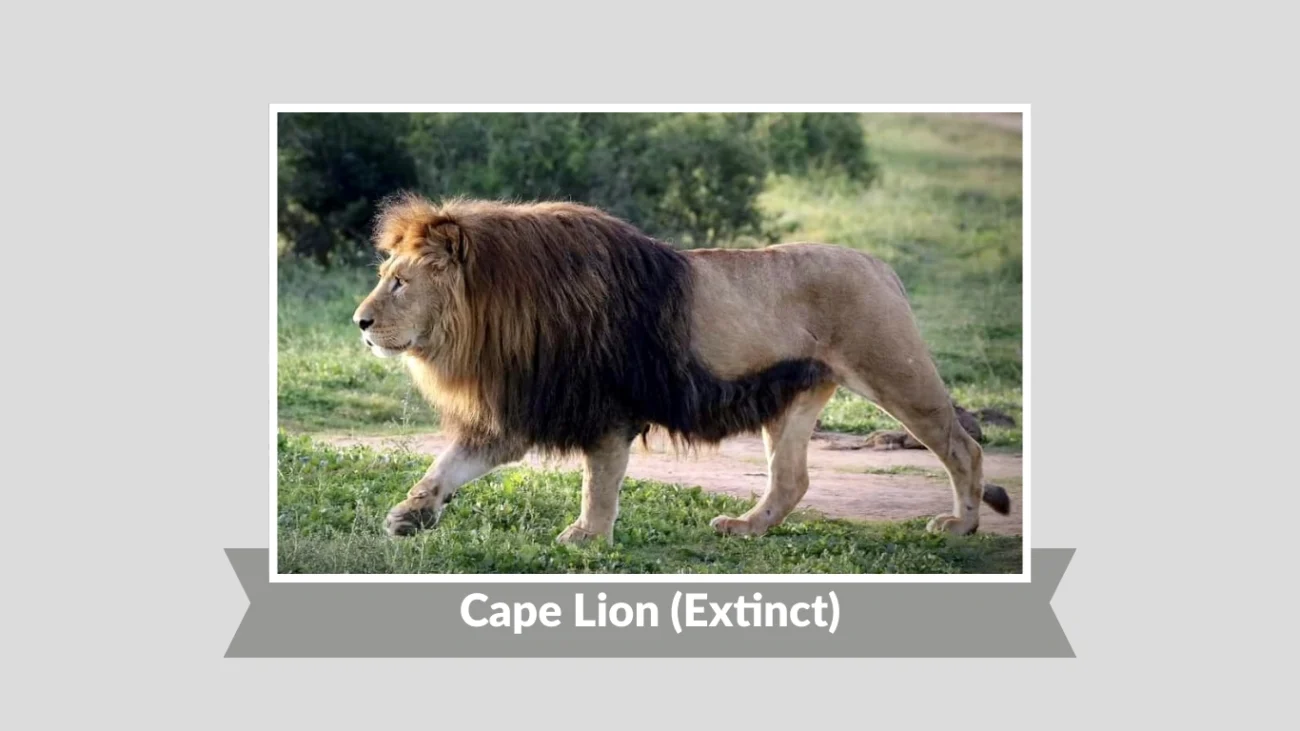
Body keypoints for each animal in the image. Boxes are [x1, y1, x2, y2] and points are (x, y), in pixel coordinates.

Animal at [351, 193, 1011, 545]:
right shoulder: (524, 407)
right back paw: (746, 527)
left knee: (963, 447)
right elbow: (448, 465)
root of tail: (880, 264)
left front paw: (587, 539)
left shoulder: (605, 409)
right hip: (796, 397)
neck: (497, 315)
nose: (359, 322)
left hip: (895, 372)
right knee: (791, 479)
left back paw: (961, 526)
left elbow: (599, 483)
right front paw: (410, 513)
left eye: (400, 283)